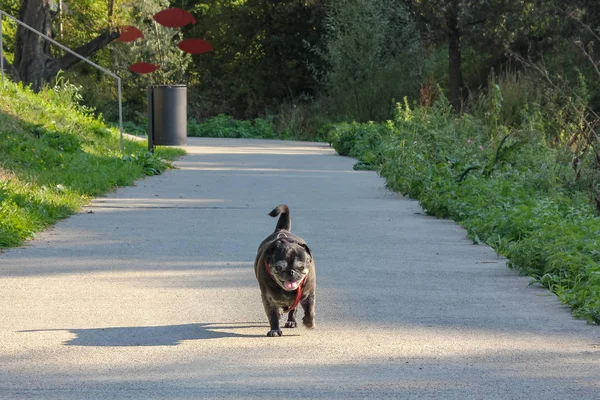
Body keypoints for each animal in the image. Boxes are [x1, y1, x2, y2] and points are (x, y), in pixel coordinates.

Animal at [253, 205, 316, 336]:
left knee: (293, 310)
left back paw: (291, 321)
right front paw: (274, 329)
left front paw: (309, 323)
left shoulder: (309, 295)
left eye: (301, 267)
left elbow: (310, 310)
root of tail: (282, 230)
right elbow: (272, 315)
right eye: (278, 267)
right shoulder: (268, 299)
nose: (291, 271)